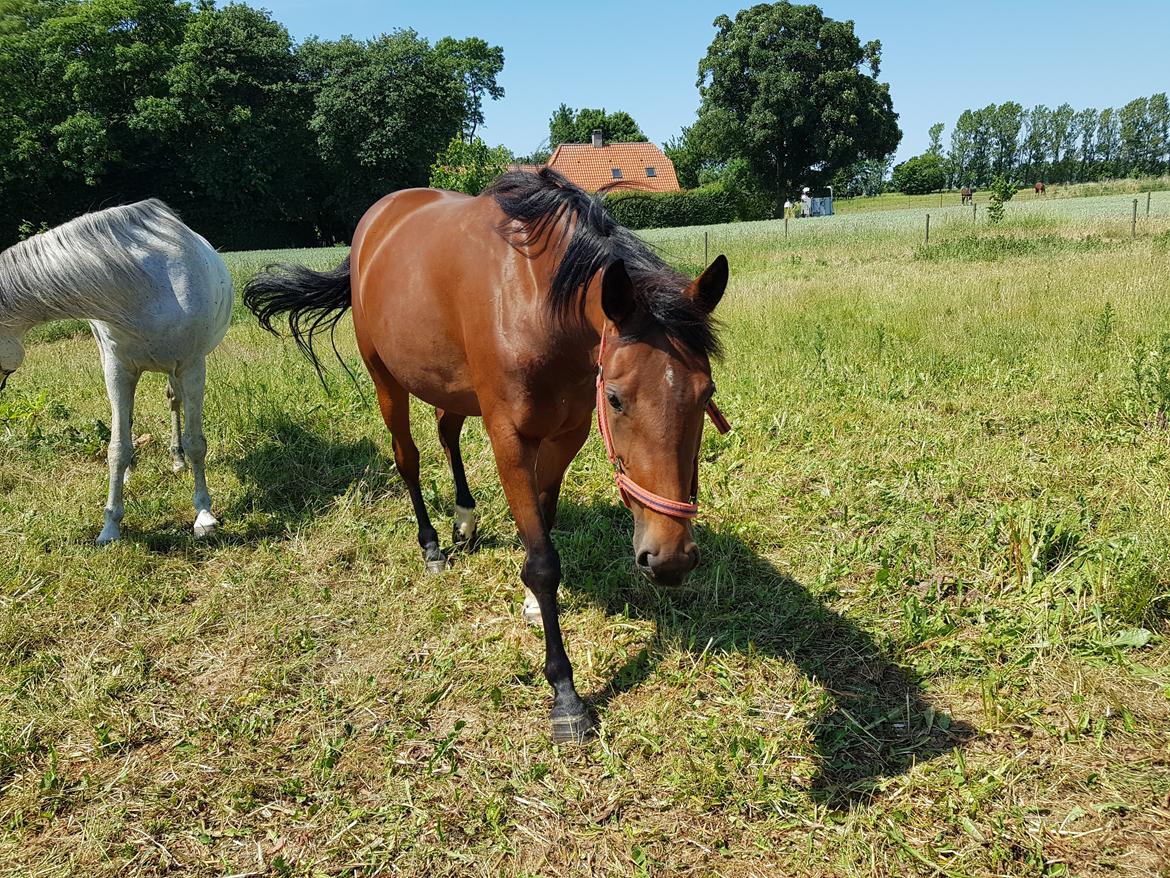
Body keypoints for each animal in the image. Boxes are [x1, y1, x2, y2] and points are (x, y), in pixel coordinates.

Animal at [0, 201, 230, 543]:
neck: (144, 287)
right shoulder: (117, 370)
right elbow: (117, 447)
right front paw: (110, 526)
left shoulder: (191, 367)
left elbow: (196, 443)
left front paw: (204, 515)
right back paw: (135, 469)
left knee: (174, 403)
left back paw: (177, 461)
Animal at [244, 169, 730, 744]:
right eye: (615, 398)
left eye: (706, 393)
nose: (670, 558)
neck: (537, 302)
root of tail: (374, 223)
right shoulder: (509, 439)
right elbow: (542, 561)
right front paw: (565, 696)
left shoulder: (567, 433)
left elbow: (543, 517)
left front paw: (530, 601)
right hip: (387, 381)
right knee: (408, 457)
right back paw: (432, 544)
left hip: (451, 386)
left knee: (446, 433)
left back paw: (465, 521)